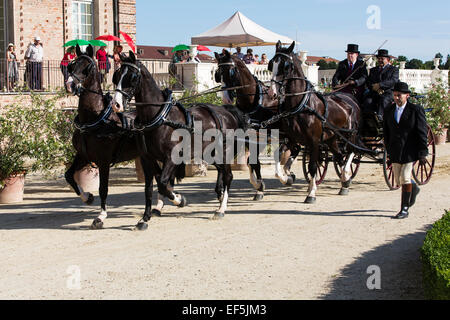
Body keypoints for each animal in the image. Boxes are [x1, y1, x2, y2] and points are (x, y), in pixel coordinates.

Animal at [110, 50, 248, 228]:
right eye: (117, 76)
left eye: (132, 77)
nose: (116, 104)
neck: (158, 117)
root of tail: (226, 111)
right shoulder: (147, 159)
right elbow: (150, 187)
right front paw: (145, 218)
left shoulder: (171, 157)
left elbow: (163, 183)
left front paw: (179, 200)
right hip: (209, 153)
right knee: (221, 172)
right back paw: (219, 196)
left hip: (224, 151)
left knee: (228, 176)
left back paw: (221, 209)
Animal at [268, 41, 362, 202]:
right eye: (271, 64)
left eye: (286, 66)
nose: (272, 93)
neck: (302, 105)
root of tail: (351, 100)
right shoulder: (291, 139)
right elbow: (279, 165)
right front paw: (288, 178)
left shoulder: (314, 141)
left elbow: (312, 166)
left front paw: (311, 193)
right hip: (332, 139)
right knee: (339, 157)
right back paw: (344, 183)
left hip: (349, 135)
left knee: (351, 152)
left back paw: (346, 174)